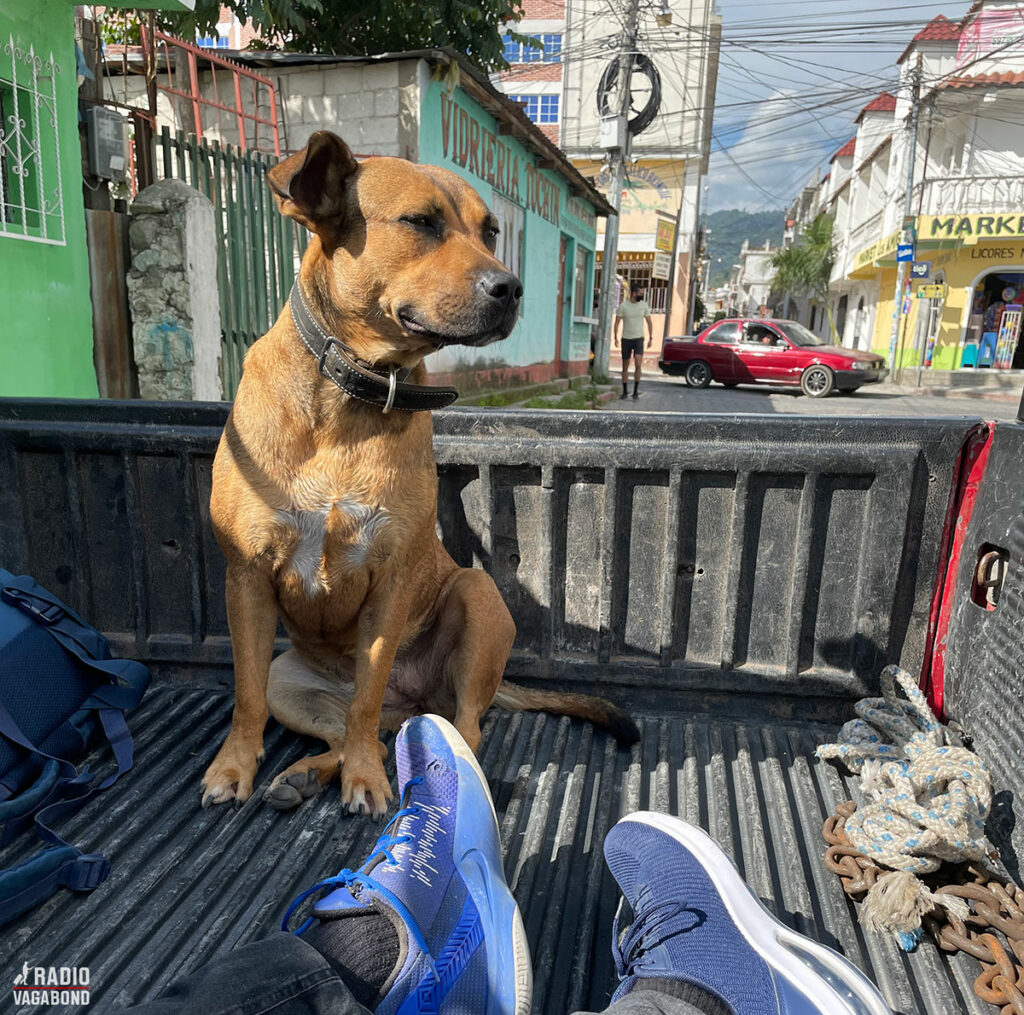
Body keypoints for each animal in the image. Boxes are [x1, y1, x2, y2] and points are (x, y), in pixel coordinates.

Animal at [201, 133, 638, 819]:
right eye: (420, 223)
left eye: (490, 231)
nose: (511, 287)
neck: (349, 392)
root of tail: (413, 700)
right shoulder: (245, 577)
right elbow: (245, 694)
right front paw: (235, 765)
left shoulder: (391, 582)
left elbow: (365, 698)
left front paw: (364, 781)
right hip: (288, 682)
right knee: (367, 731)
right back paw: (305, 773)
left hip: (477, 598)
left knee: (446, 727)